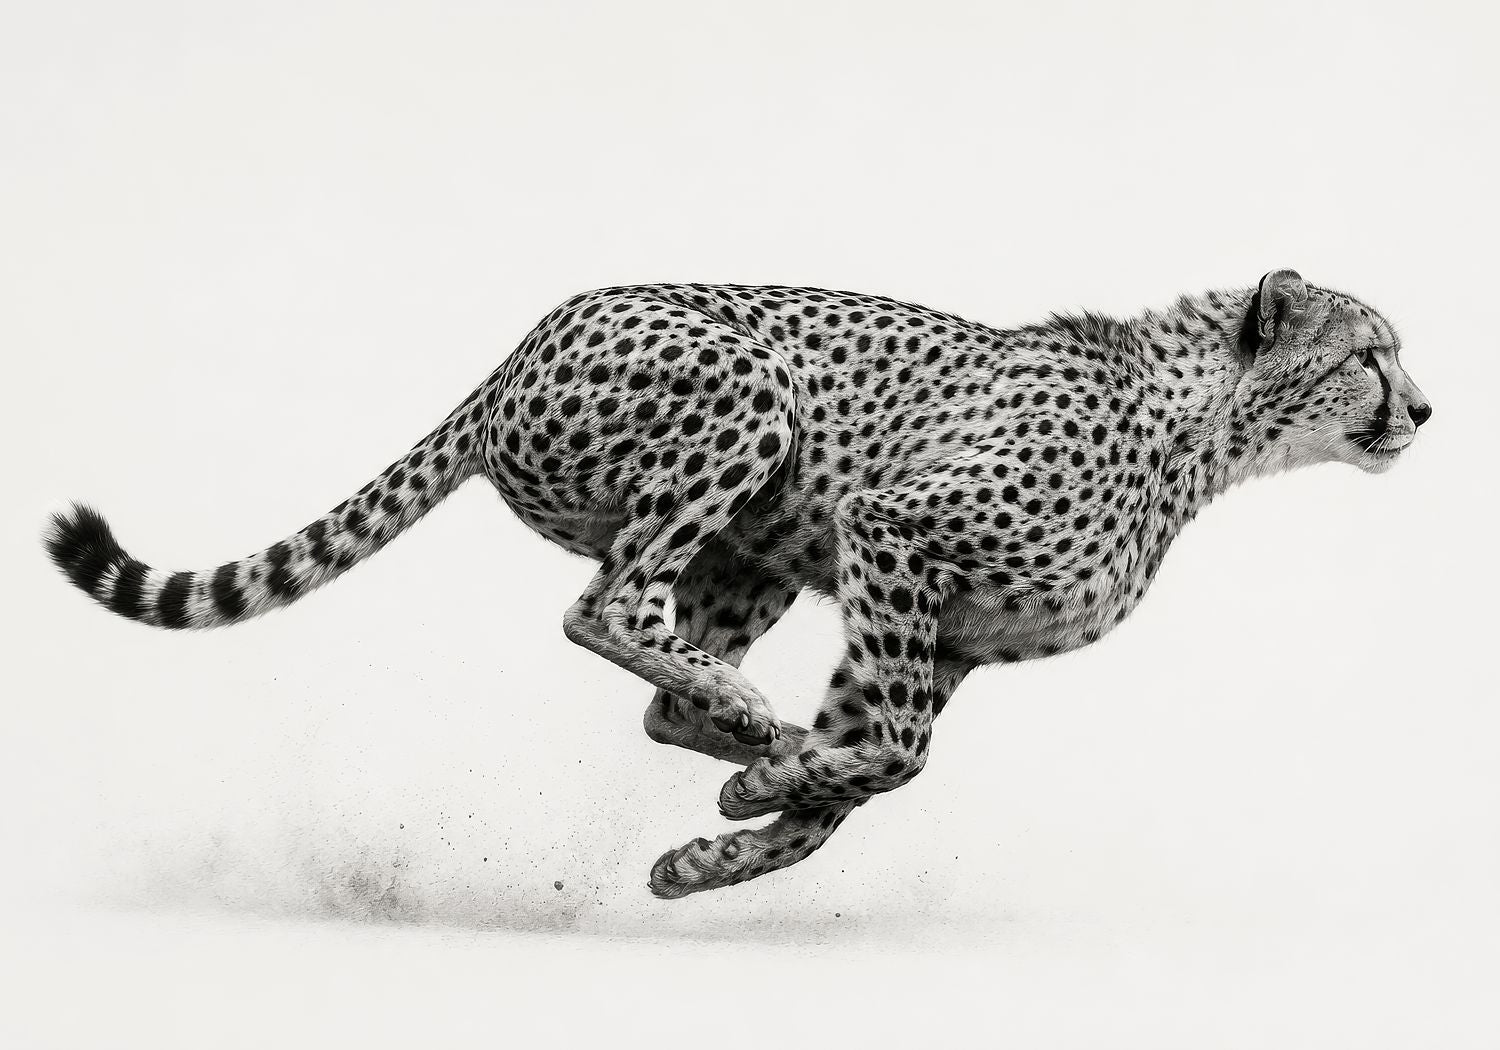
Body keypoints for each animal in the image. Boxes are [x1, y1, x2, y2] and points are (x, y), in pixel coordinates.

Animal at [44, 269, 1431, 899]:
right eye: (1370, 354)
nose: (1424, 408)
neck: (1203, 430)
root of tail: (522, 346)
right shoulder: (895, 529)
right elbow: (893, 754)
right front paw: (761, 791)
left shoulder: (951, 636)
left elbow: (872, 771)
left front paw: (715, 850)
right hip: (753, 404)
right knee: (602, 608)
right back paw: (746, 719)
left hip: (757, 551)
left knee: (659, 682)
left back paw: (736, 724)